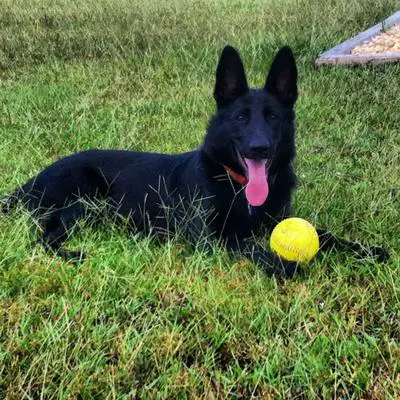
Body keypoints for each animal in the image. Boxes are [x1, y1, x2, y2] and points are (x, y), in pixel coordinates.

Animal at [1, 46, 390, 276]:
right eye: (240, 118)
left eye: (273, 118)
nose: (260, 148)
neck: (235, 185)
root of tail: (29, 182)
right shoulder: (210, 238)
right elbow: (249, 245)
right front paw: (284, 263)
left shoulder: (275, 220)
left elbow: (326, 235)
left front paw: (365, 249)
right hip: (83, 202)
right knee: (41, 241)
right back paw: (74, 255)